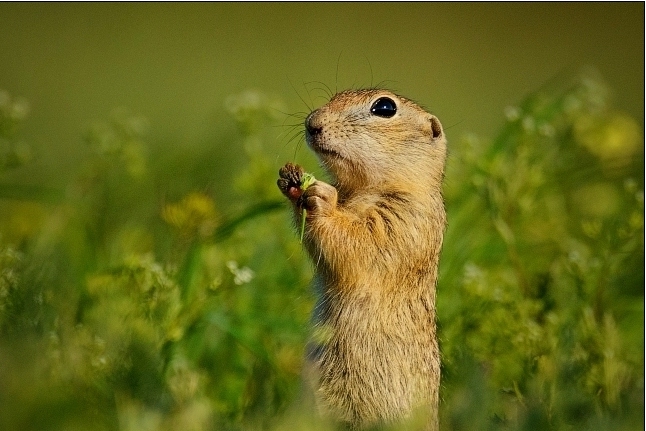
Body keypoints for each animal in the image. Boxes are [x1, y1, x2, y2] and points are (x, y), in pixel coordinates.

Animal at [276, 89, 448, 430]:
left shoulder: (403, 221)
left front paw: (321, 197)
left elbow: (357, 246)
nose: (312, 123)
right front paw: (290, 180)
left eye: (385, 107)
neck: (364, 189)